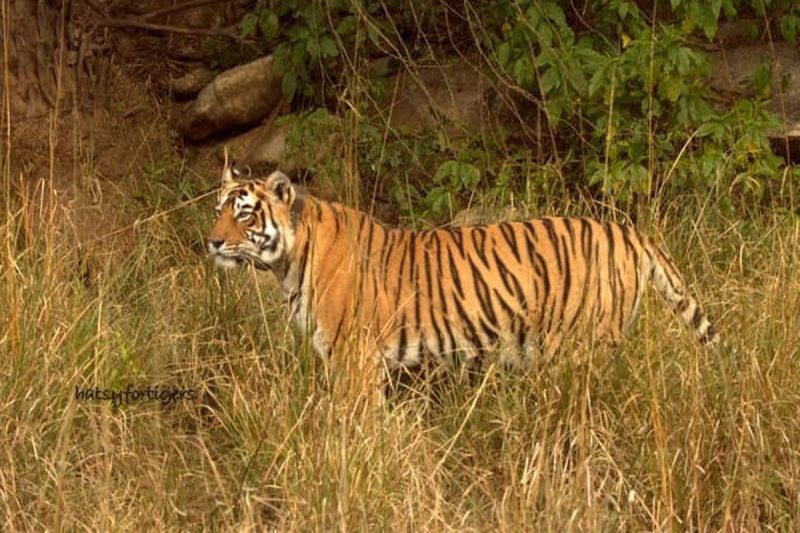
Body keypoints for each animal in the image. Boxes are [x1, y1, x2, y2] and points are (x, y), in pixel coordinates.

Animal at [207, 164, 720, 375]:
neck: (288, 263)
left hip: (581, 346)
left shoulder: (354, 354)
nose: (211, 241)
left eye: (245, 214)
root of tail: (631, 232)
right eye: (218, 210)